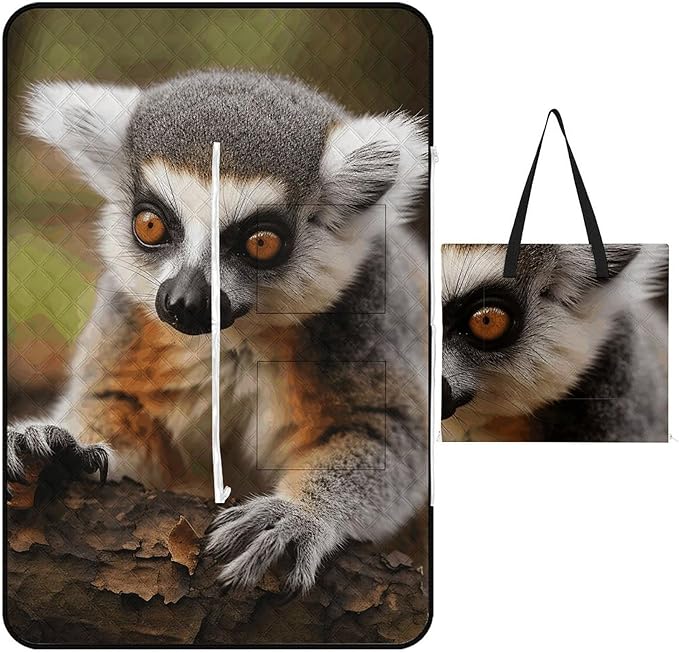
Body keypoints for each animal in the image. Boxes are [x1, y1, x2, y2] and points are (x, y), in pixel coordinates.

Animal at [7, 69, 430, 591]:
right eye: (150, 224)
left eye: (261, 243)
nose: (184, 304)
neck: (233, 340)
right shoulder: (131, 319)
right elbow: (125, 416)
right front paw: (62, 445)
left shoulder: (368, 312)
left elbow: (389, 433)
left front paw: (298, 512)